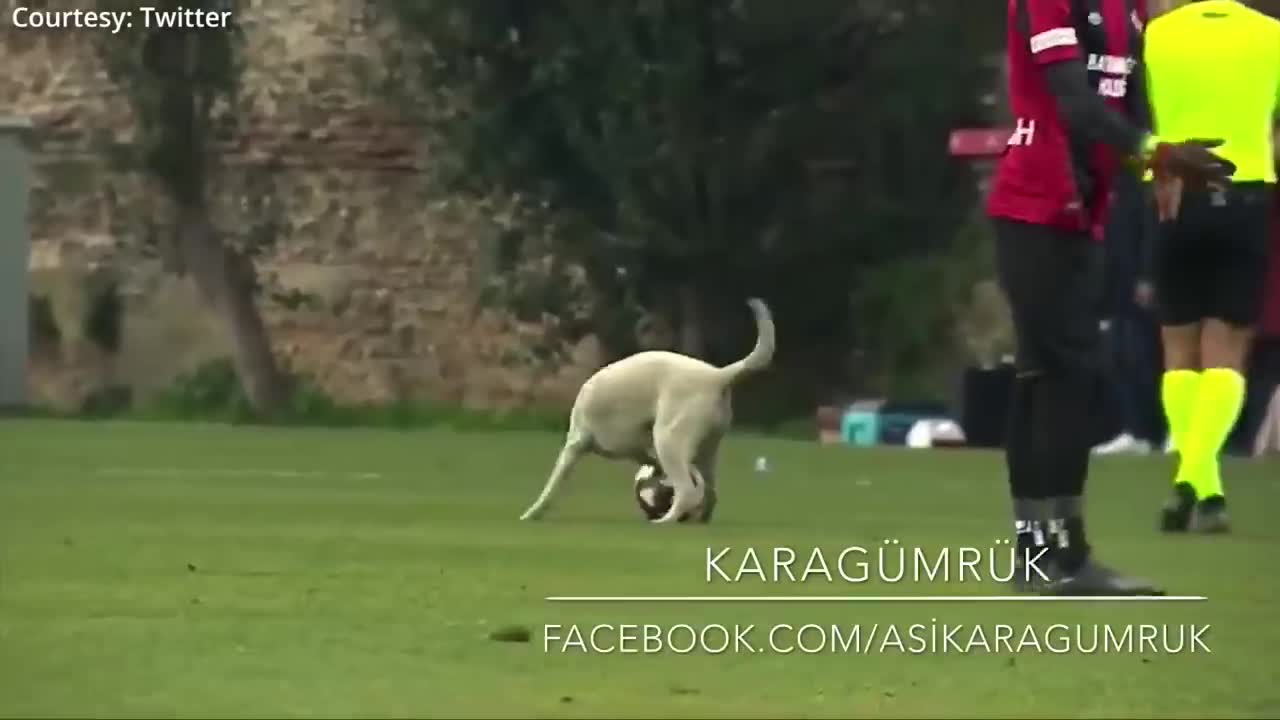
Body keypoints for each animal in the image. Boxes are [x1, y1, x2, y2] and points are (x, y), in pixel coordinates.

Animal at [517, 297, 773, 520]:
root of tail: (717, 376)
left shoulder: (577, 445)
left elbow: (552, 485)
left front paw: (532, 513)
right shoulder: (638, 448)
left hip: (668, 440)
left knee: (688, 491)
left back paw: (665, 521)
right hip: (706, 450)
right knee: (708, 493)